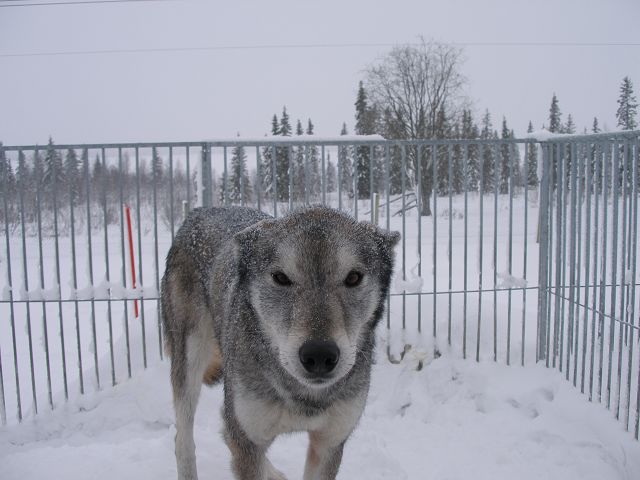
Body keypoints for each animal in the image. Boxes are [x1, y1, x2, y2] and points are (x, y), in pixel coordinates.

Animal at [161, 206, 399, 480]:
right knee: (183, 439)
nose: (319, 355)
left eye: (353, 277)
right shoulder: (247, 441)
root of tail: (200, 210)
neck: (303, 397)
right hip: (190, 364)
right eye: (281, 277)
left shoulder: (328, 444)